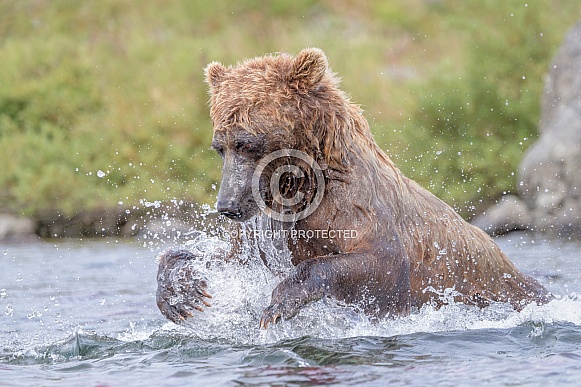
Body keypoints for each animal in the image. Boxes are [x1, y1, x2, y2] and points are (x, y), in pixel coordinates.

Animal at [156, 47, 552, 328]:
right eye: (219, 146)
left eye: (247, 143)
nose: (227, 206)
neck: (300, 184)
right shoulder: (269, 231)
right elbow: (226, 258)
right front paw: (182, 295)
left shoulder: (352, 205)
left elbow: (382, 263)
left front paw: (278, 303)